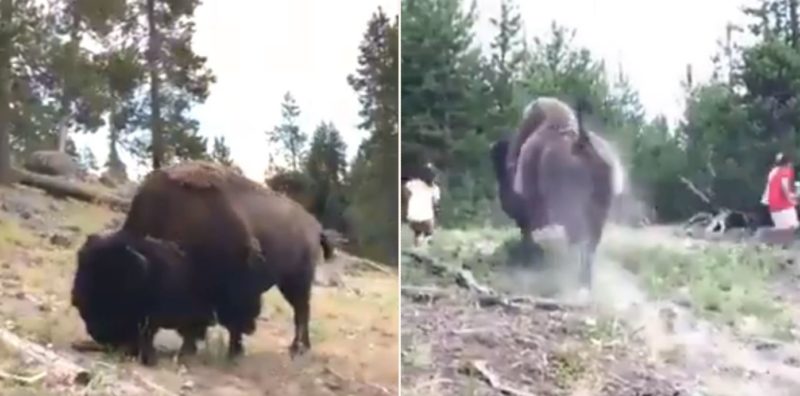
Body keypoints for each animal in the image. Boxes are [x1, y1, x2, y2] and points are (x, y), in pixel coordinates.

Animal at [72, 161, 334, 366]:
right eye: (81, 297)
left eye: (119, 292)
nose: (99, 334)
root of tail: (314, 225)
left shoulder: (234, 289)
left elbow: (231, 322)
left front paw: (230, 352)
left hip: (296, 282)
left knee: (301, 313)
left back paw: (298, 349)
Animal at [490, 97, 628, 290]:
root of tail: (582, 142)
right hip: (597, 211)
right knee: (589, 245)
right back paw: (584, 282)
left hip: (570, 208)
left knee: (578, 241)